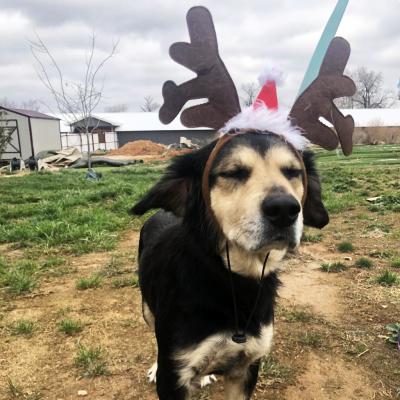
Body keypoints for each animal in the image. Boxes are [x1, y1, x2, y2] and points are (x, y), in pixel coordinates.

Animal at [131, 130, 328, 398]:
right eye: (233, 172)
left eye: (293, 172)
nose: (285, 209)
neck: (231, 278)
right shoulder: (174, 375)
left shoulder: (247, 367)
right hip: (147, 309)